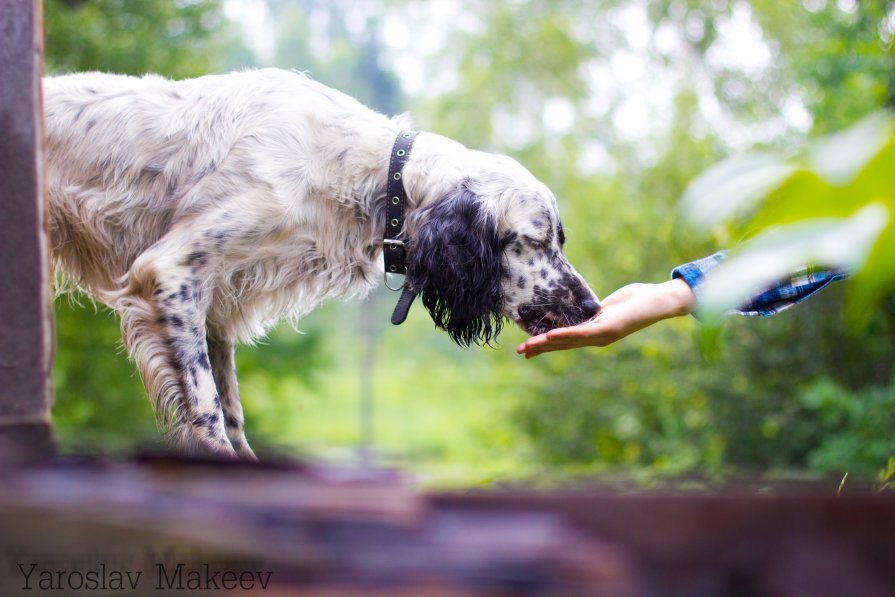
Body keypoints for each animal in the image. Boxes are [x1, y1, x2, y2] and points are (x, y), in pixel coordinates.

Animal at [43, 70, 600, 458]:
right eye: (537, 241)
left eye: (559, 240)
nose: (593, 307)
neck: (370, 173)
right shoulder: (170, 271)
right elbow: (208, 414)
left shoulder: (214, 304)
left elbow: (231, 412)